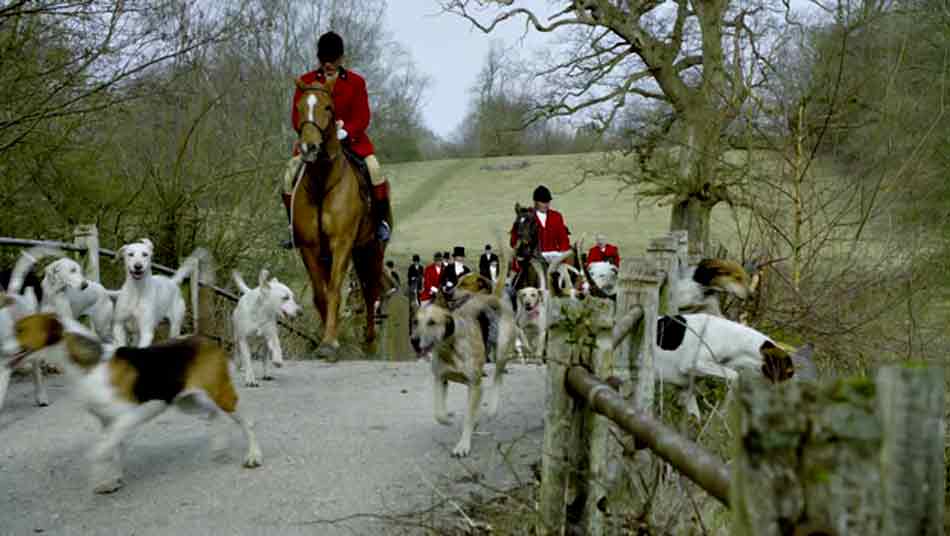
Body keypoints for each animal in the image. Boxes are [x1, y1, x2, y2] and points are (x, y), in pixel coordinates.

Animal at [292, 77, 384, 358]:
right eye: (299, 107)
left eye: (328, 107)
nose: (309, 147)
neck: (322, 180)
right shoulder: (309, 246)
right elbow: (320, 294)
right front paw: (327, 337)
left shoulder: (342, 242)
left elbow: (334, 290)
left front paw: (330, 343)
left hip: (370, 248)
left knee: (370, 290)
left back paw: (370, 341)